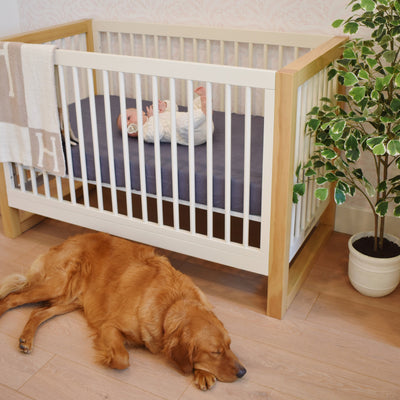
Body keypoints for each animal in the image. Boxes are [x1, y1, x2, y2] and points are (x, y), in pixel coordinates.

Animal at [0, 231, 245, 390]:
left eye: (229, 346)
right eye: (215, 352)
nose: (243, 372)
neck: (171, 304)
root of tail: (70, 238)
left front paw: (203, 373)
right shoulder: (110, 326)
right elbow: (122, 358)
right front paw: (107, 358)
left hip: (70, 300)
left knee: (37, 313)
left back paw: (26, 340)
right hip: (56, 284)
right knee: (12, 298)